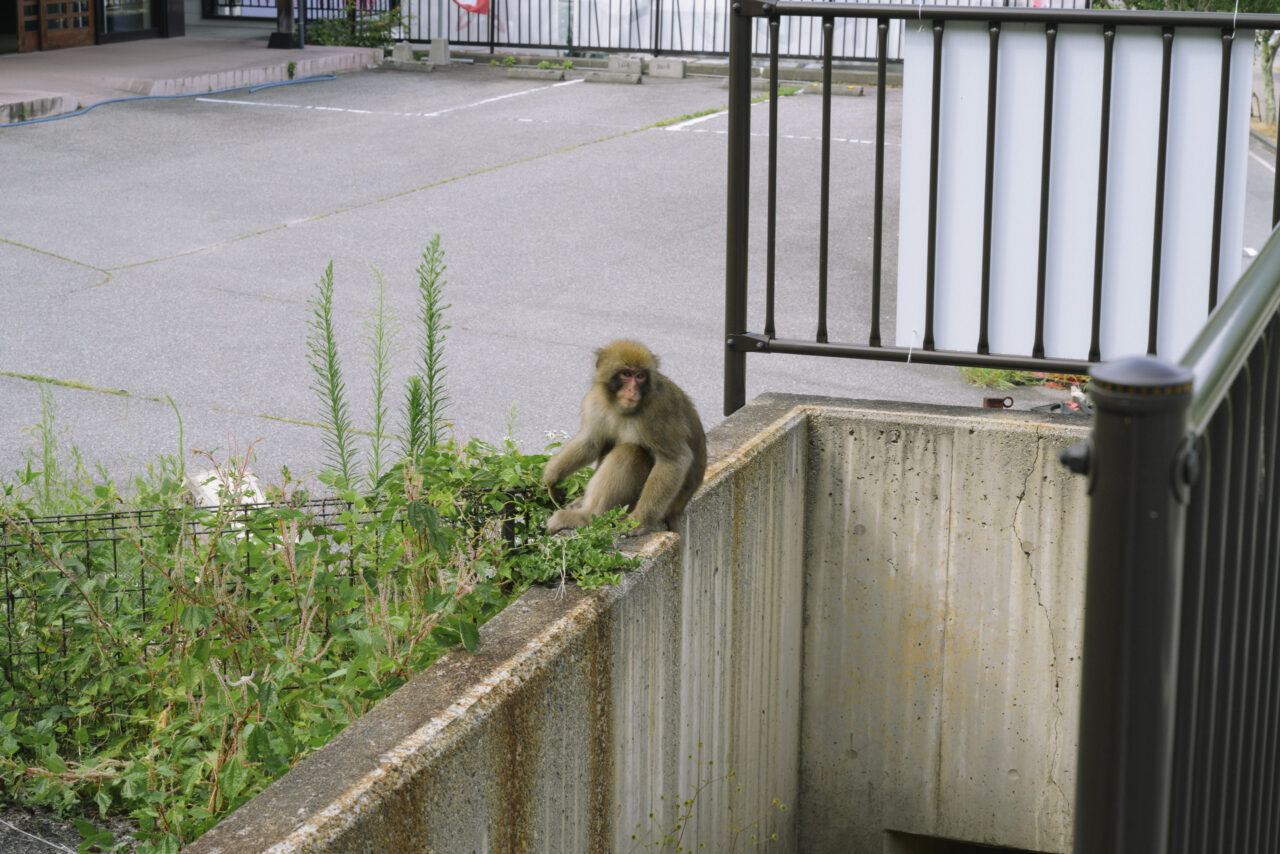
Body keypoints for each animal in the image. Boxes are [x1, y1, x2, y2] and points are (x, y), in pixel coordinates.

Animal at [543, 340, 707, 537]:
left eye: (640, 376)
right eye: (626, 374)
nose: (632, 390)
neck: (619, 408)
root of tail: (677, 509)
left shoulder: (658, 412)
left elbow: (674, 460)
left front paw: (639, 522)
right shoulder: (595, 401)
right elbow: (591, 441)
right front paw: (551, 476)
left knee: (629, 452)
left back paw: (585, 517)